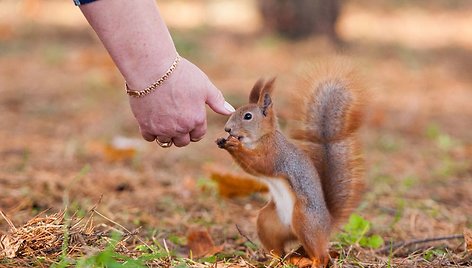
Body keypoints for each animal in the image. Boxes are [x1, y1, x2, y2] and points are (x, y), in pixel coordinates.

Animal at [217, 62, 366, 266]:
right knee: (278, 250)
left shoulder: (275, 154)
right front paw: (223, 142)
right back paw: (274, 261)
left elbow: (261, 164)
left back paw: (313, 262)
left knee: (321, 254)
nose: (227, 129)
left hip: (305, 221)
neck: (260, 138)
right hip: (267, 221)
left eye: (247, 116)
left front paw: (234, 145)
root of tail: (328, 223)